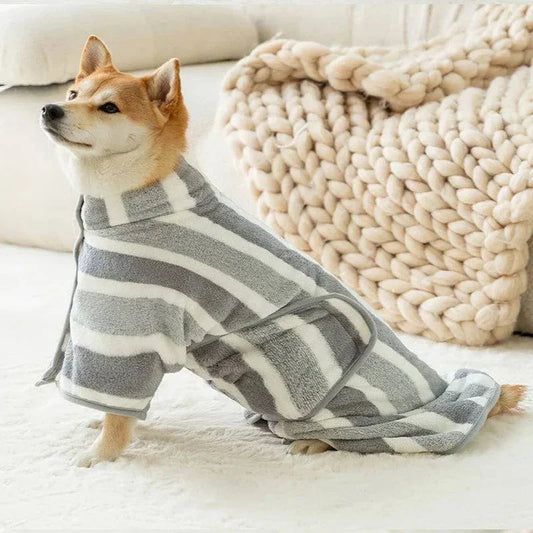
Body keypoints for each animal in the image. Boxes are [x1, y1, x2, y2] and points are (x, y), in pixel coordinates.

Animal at [39, 35, 524, 466]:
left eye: (109, 107)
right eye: (73, 93)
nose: (49, 107)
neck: (136, 201)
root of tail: (440, 393)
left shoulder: (128, 329)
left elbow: (117, 408)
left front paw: (101, 454)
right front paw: (102, 426)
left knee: (360, 439)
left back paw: (313, 443)